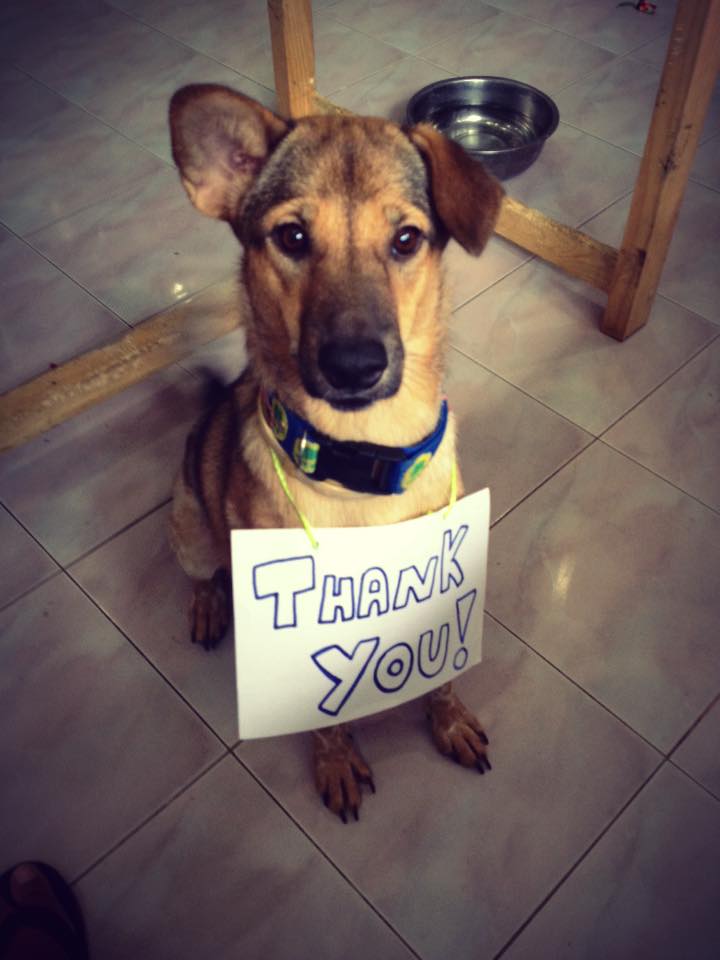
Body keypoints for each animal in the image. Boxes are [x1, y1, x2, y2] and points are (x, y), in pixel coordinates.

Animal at [166, 82, 504, 820]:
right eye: (292, 237)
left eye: (407, 239)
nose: (354, 365)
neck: (362, 461)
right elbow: (324, 719)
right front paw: (337, 759)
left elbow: (442, 679)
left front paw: (450, 720)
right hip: (190, 525)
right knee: (202, 573)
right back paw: (206, 606)